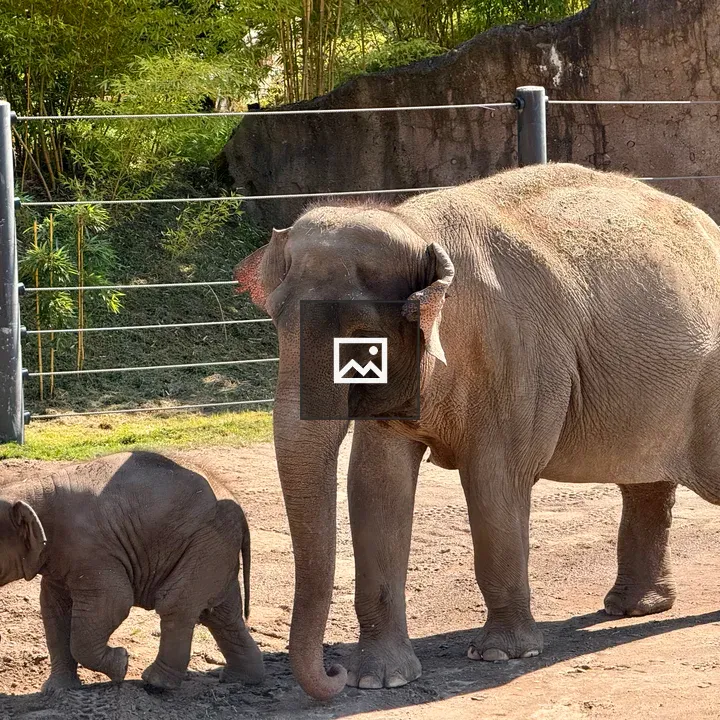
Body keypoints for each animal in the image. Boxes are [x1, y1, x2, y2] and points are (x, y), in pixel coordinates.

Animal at [0, 451, 263, 692]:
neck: (34, 488)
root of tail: (239, 510)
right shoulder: (59, 560)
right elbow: (54, 611)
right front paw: (57, 691)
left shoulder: (93, 552)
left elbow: (114, 602)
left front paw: (121, 665)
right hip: (217, 549)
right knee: (222, 614)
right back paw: (241, 679)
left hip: (206, 543)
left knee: (177, 604)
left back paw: (156, 683)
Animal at [234, 161, 720, 700]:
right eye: (277, 322)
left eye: (363, 337)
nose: (333, 672)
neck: (414, 226)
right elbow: (376, 485)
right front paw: (379, 680)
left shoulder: (516, 358)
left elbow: (495, 481)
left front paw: (503, 654)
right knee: (646, 486)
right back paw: (634, 608)